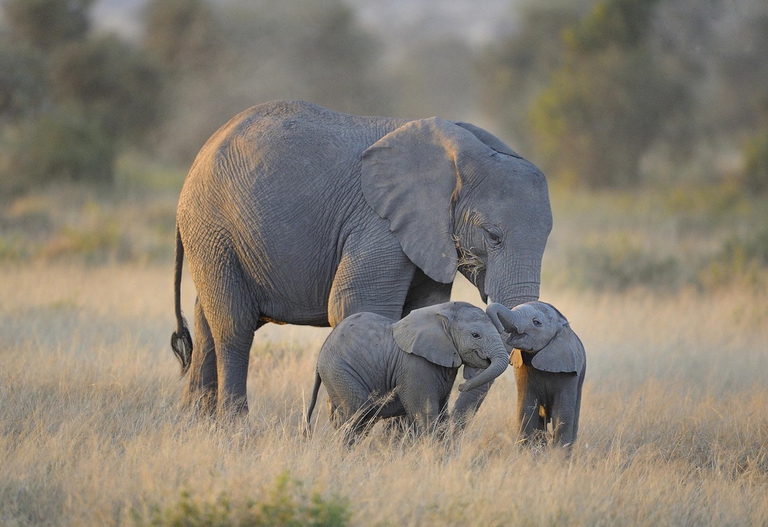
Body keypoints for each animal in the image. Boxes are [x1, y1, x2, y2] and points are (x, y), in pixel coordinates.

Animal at [170, 100, 552, 417]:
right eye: (493, 236)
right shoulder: (378, 224)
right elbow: (357, 305)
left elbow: (421, 311)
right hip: (213, 227)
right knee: (234, 326)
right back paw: (234, 427)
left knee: (206, 321)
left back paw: (194, 424)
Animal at [305, 302, 509, 442]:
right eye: (476, 335)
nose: (462, 386)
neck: (442, 312)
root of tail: (322, 352)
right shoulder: (415, 366)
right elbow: (426, 415)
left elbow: (441, 415)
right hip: (340, 371)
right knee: (358, 415)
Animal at [486, 301, 586, 450]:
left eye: (536, 322)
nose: (499, 328)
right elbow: (527, 409)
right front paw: (525, 452)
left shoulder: (569, 371)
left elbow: (562, 414)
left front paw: (558, 455)